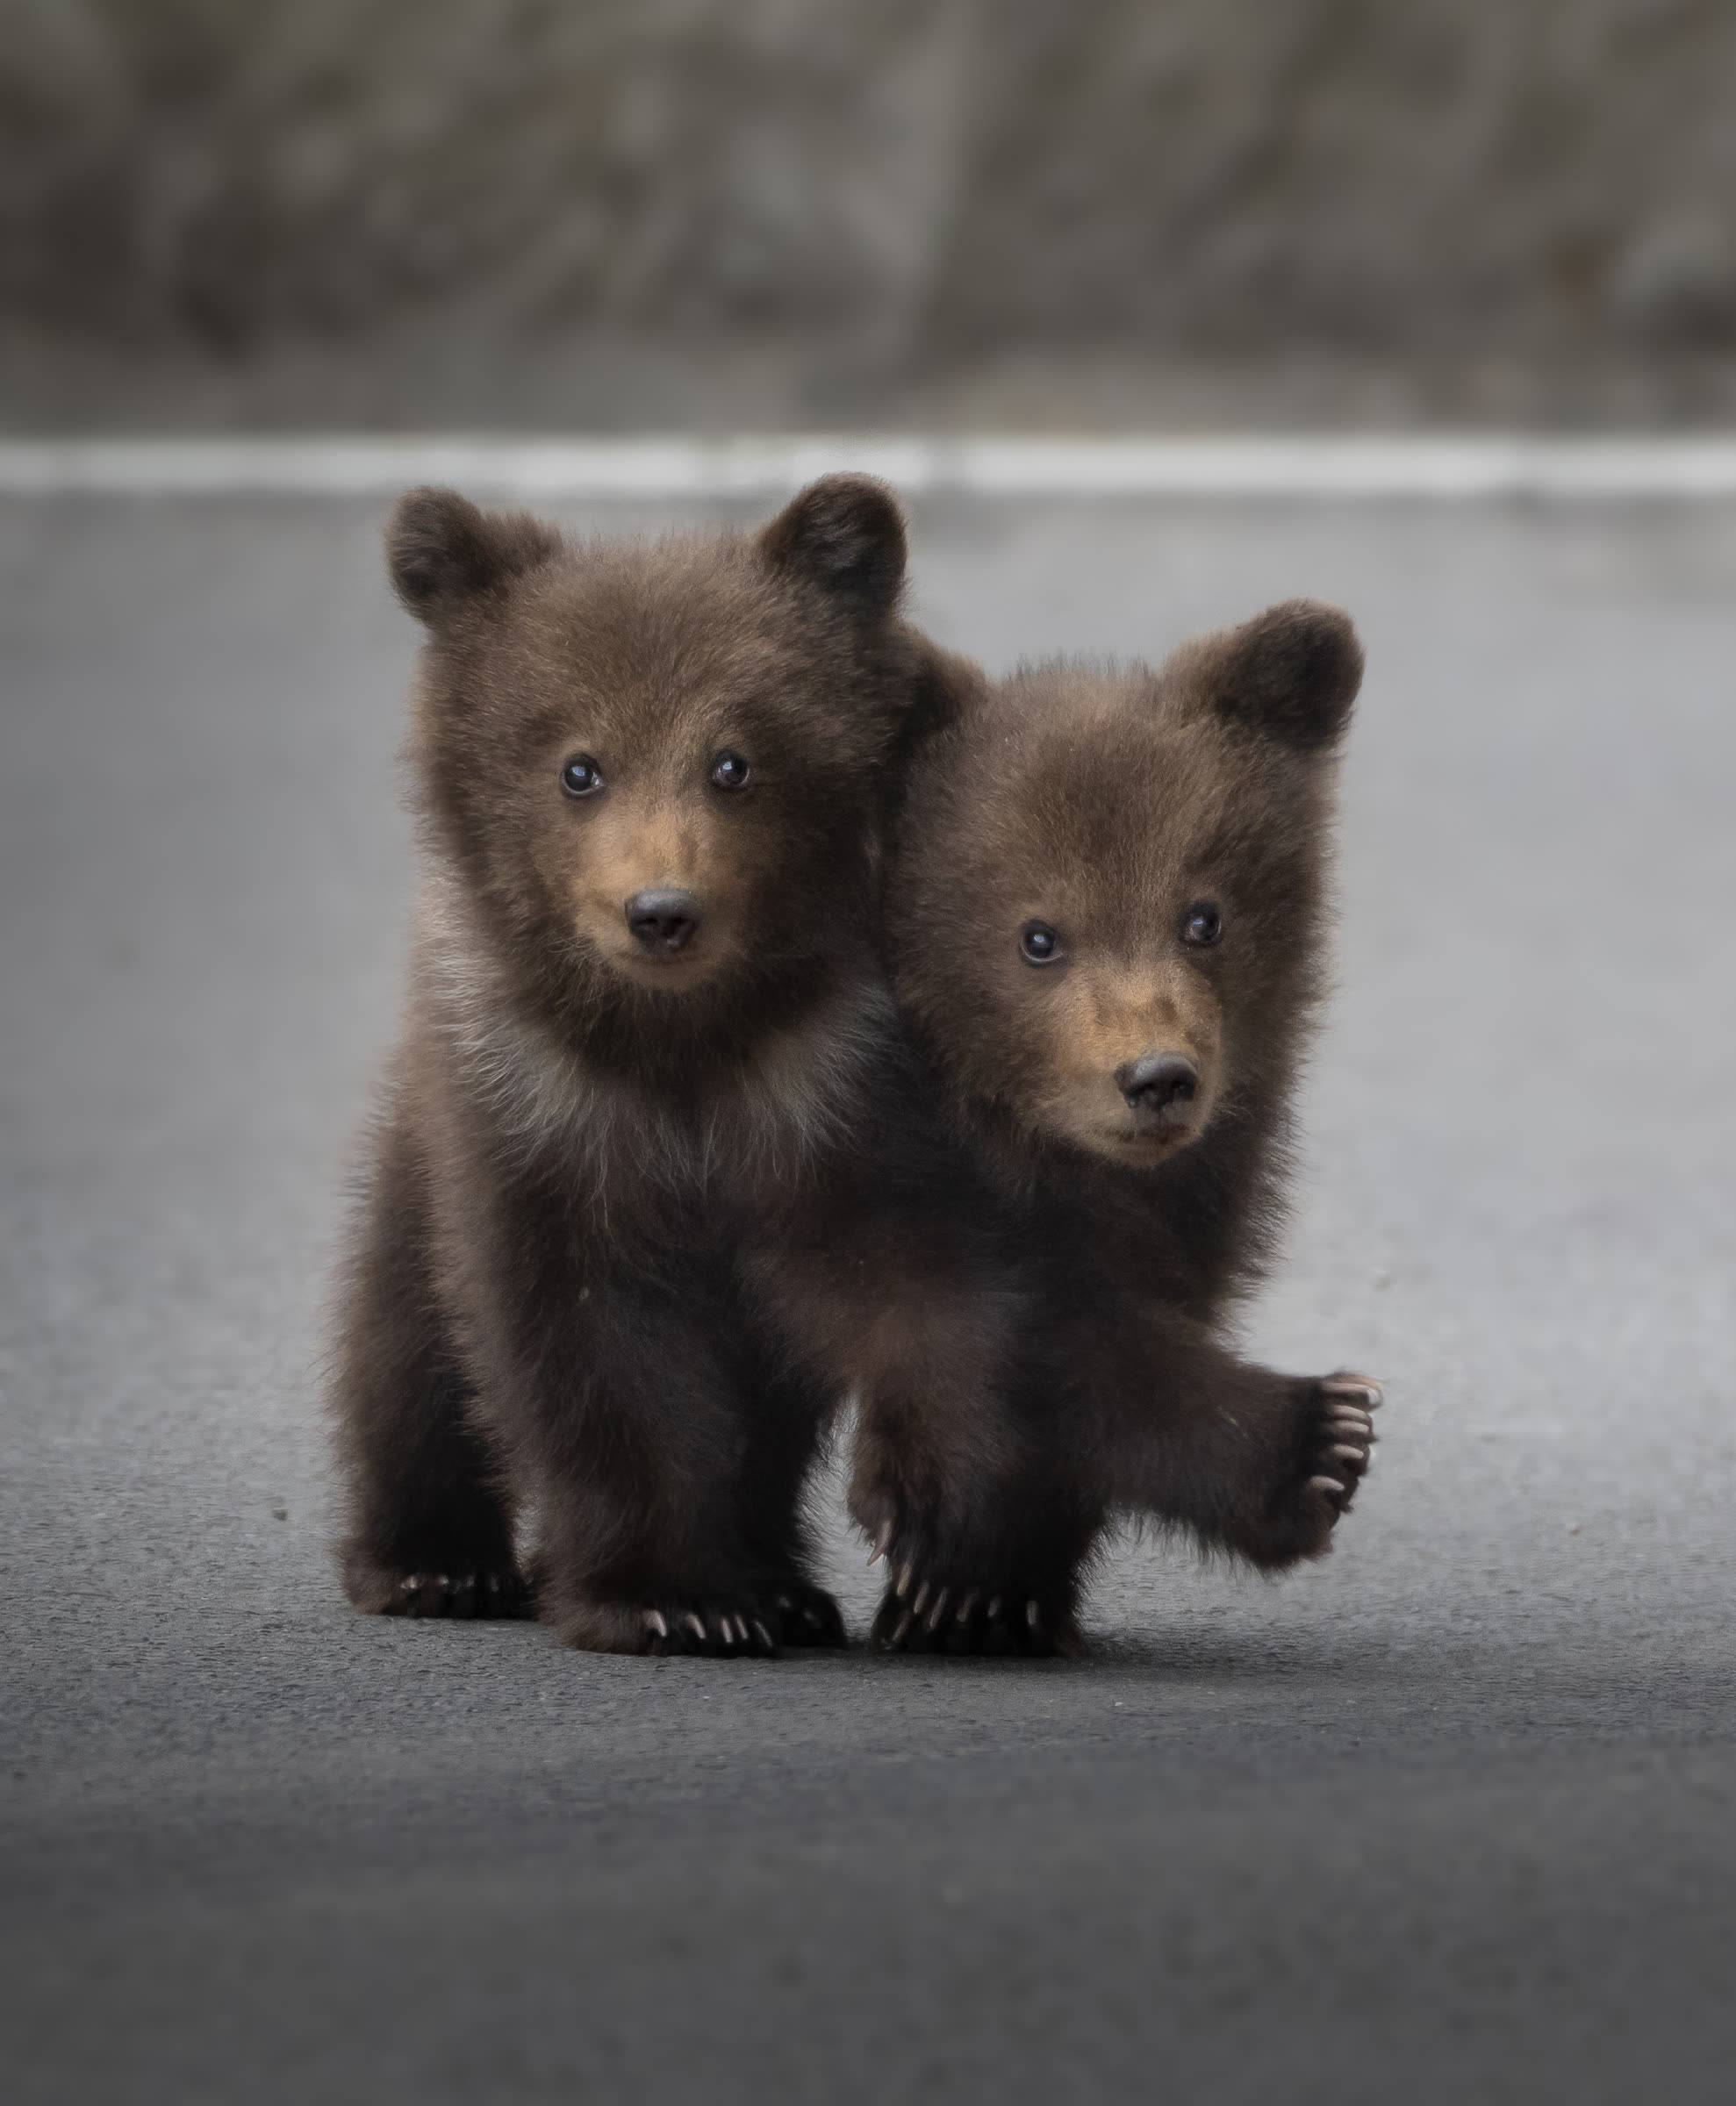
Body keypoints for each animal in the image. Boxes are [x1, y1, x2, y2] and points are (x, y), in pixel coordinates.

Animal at [329, 472, 1028, 1657]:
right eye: (578, 767)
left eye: (734, 761)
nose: (660, 910)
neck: (685, 1043)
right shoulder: (543, 1112)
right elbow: (586, 1344)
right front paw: (669, 1596)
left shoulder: (840, 1083)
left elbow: (914, 1282)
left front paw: (932, 1545)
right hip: (422, 1142)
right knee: (404, 1338)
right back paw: (431, 1561)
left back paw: (784, 1585)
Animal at [852, 602, 1384, 1652]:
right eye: (1038, 937)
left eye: (1203, 916)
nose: (1156, 1078)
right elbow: (1035, 1338)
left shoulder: (1203, 1190)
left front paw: (992, 1589)